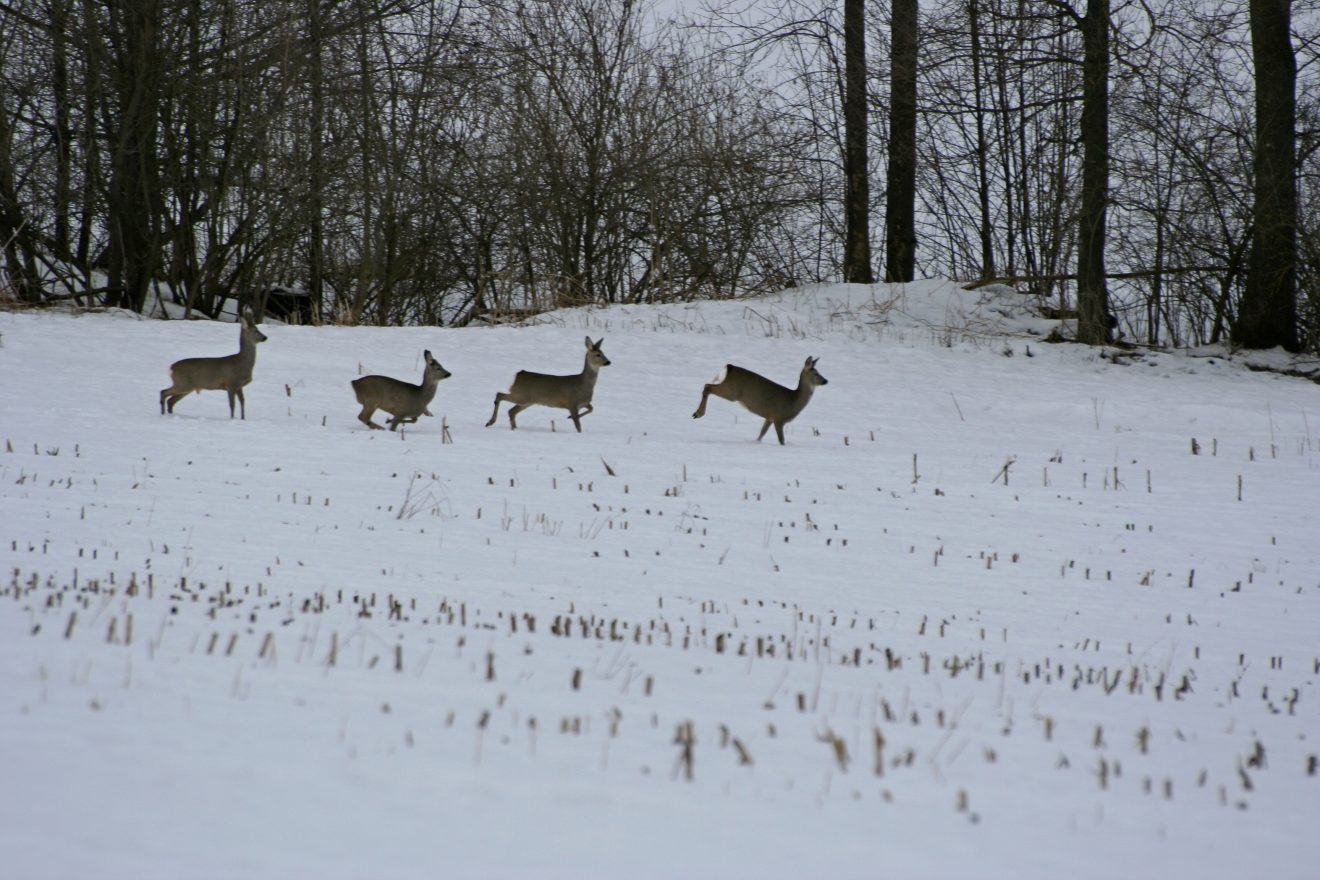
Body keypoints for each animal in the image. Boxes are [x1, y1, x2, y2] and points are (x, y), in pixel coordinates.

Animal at [691, 353, 823, 443]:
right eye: (816, 374)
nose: (825, 380)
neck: (794, 400)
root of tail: (729, 367)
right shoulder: (779, 418)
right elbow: (781, 440)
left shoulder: (769, 417)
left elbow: (761, 433)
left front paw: (756, 442)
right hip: (732, 392)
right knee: (708, 386)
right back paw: (698, 413)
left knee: (707, 385)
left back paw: (697, 413)